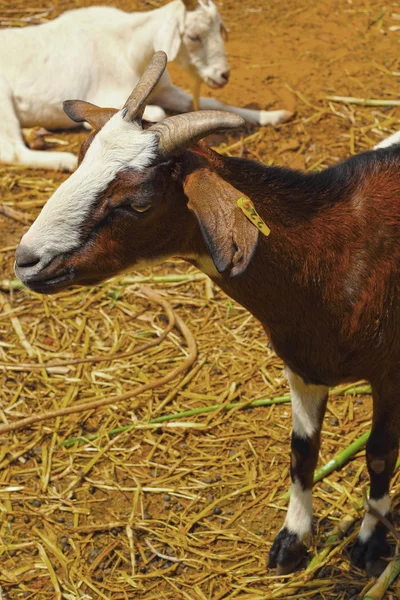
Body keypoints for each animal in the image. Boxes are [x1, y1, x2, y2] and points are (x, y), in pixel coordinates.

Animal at [0, 0, 292, 173]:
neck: (128, 50)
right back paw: (64, 160)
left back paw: (36, 136)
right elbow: (159, 113)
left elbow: (212, 104)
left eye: (220, 30)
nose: (223, 75)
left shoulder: (167, 90)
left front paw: (275, 115)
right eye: (193, 36)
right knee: (12, 151)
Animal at [15, 52, 400, 576]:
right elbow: (302, 453)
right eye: (78, 160)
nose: (26, 260)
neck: (339, 252)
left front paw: (370, 543)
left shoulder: (391, 372)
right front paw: (292, 541)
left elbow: (380, 454)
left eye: (139, 202)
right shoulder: (302, 366)